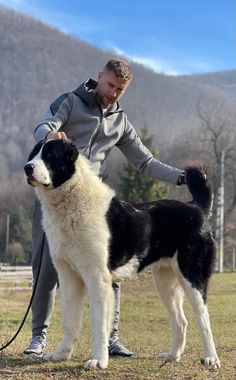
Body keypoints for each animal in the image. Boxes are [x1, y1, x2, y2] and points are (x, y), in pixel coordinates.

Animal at [24, 139, 220, 368]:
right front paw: (61, 354)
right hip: (165, 282)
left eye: (49, 155)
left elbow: (99, 323)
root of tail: (196, 207)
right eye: (33, 154)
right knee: (181, 320)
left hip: (192, 276)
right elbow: (70, 320)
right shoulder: (68, 277)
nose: (27, 167)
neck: (71, 201)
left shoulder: (97, 279)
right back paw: (173, 355)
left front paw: (99, 360)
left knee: (203, 317)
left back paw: (210, 358)